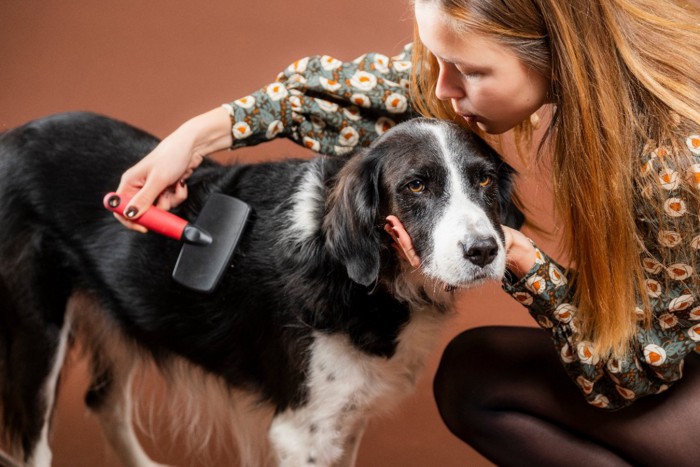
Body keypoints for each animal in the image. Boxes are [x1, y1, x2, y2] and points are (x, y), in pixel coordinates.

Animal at [0, 114, 524, 467]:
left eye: (484, 179)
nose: (484, 251)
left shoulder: (343, 417)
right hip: (35, 340)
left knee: (103, 401)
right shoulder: (303, 431)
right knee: (33, 447)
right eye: (416, 186)